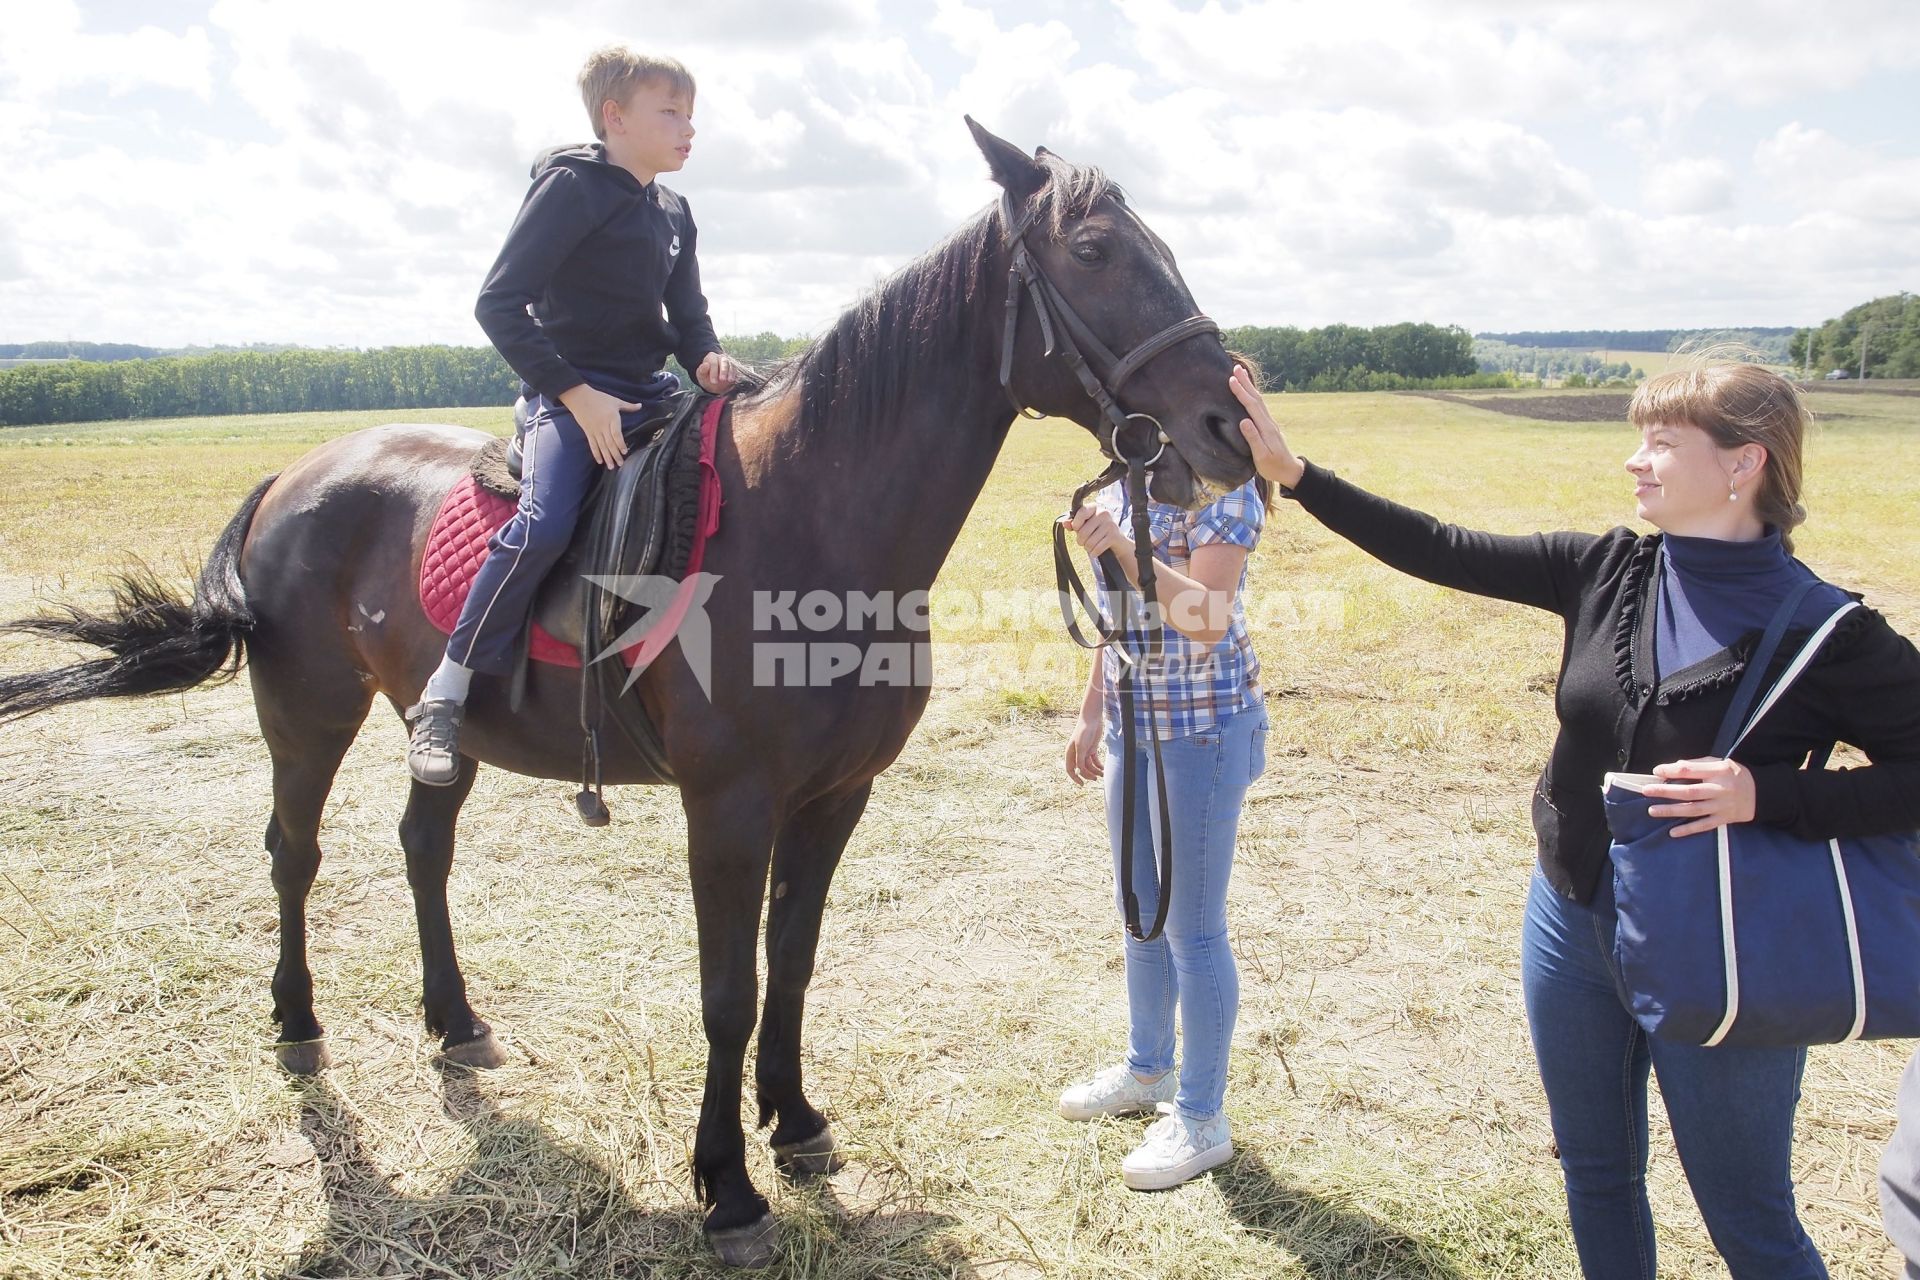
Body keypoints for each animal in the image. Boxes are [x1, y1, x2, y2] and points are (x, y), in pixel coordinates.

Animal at [0, 122, 1251, 1274]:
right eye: (1093, 249)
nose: (1229, 425)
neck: (811, 516)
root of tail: (294, 475)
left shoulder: (836, 797)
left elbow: (794, 962)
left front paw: (796, 1122)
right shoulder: (729, 806)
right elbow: (728, 988)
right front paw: (727, 1187)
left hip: (439, 730)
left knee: (420, 845)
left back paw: (455, 1021)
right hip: (307, 713)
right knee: (293, 852)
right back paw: (301, 1023)